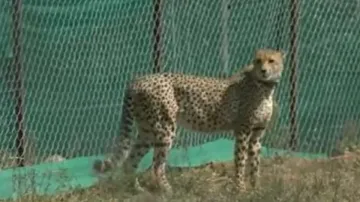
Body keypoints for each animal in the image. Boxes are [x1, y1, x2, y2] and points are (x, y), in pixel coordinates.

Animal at [93, 48, 286, 193]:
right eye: (258, 60)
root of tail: (138, 79)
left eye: (271, 61)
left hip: (147, 131)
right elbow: (240, 161)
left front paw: (256, 188)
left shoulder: (257, 134)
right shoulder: (242, 131)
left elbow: (255, 164)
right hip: (164, 128)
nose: (263, 70)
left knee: (129, 163)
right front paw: (240, 189)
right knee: (157, 166)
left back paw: (137, 190)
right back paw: (168, 191)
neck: (265, 87)